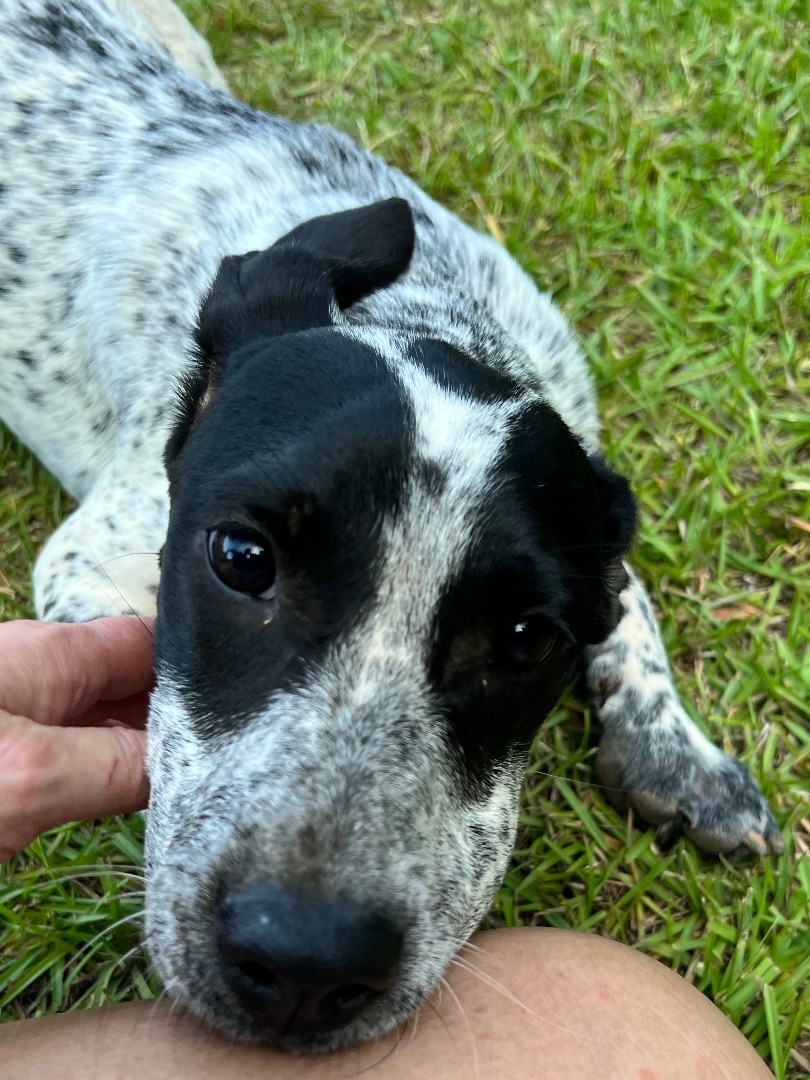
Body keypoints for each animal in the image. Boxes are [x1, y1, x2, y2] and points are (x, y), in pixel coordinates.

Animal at [1, 0, 786, 1054]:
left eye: (527, 638)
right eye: (241, 558)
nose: (302, 965)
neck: (423, 308)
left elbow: (632, 603)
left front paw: (680, 754)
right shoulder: (90, 555)